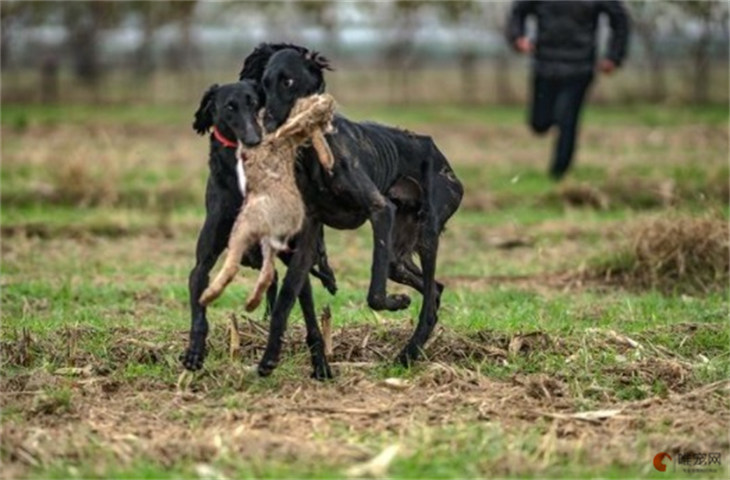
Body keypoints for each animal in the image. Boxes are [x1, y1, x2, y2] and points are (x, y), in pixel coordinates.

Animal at [179, 80, 336, 376]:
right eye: (229, 107)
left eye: (254, 103)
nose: (254, 140)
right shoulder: (202, 264)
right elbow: (199, 310)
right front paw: (194, 352)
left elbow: (290, 310)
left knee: (309, 318)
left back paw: (320, 364)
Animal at [240, 43, 466, 376]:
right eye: (264, 84)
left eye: (288, 81)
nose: (266, 125)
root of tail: (438, 153)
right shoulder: (308, 236)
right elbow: (285, 300)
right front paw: (269, 359)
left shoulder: (380, 210)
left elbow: (374, 295)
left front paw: (397, 302)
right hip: (399, 256)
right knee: (434, 289)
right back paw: (411, 351)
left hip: (427, 233)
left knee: (427, 300)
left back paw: (408, 353)